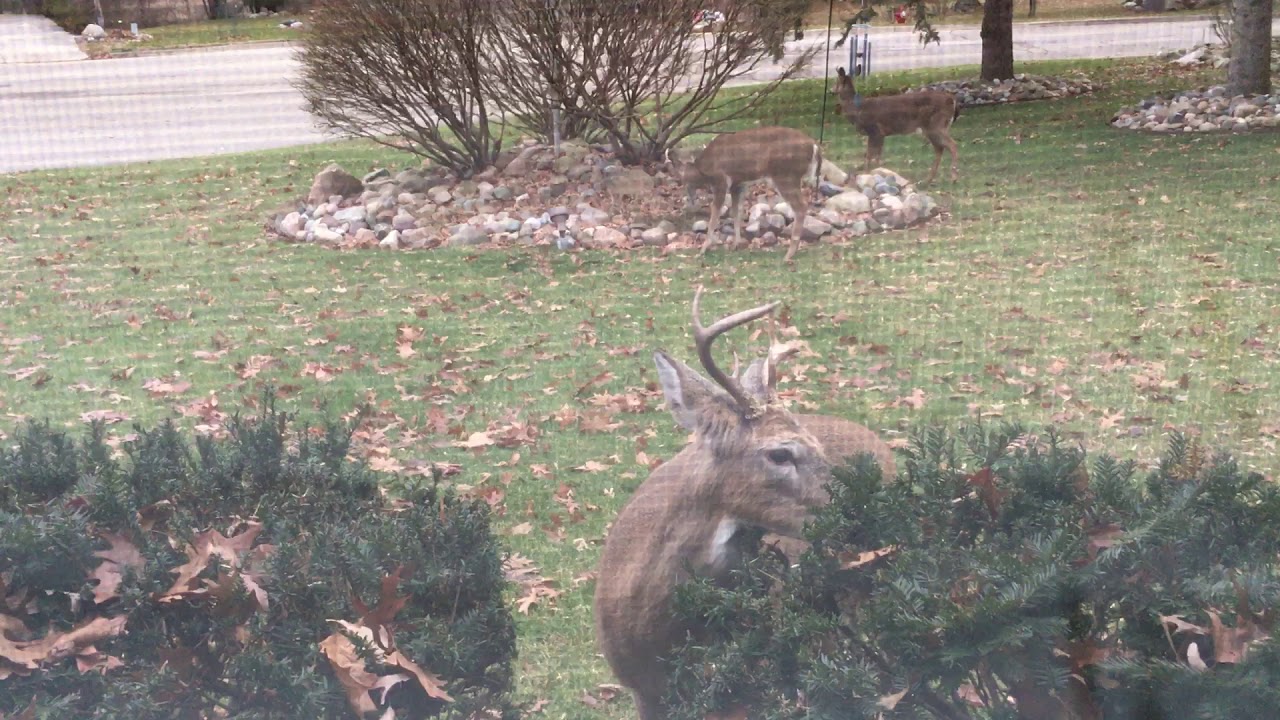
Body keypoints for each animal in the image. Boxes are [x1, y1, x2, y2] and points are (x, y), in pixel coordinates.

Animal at [666, 126, 823, 262]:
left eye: (678, 174)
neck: (703, 170)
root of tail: (814, 145)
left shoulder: (721, 181)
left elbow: (714, 214)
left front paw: (703, 249)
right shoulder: (738, 185)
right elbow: (737, 212)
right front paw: (736, 244)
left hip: (785, 175)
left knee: (801, 206)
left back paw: (789, 254)